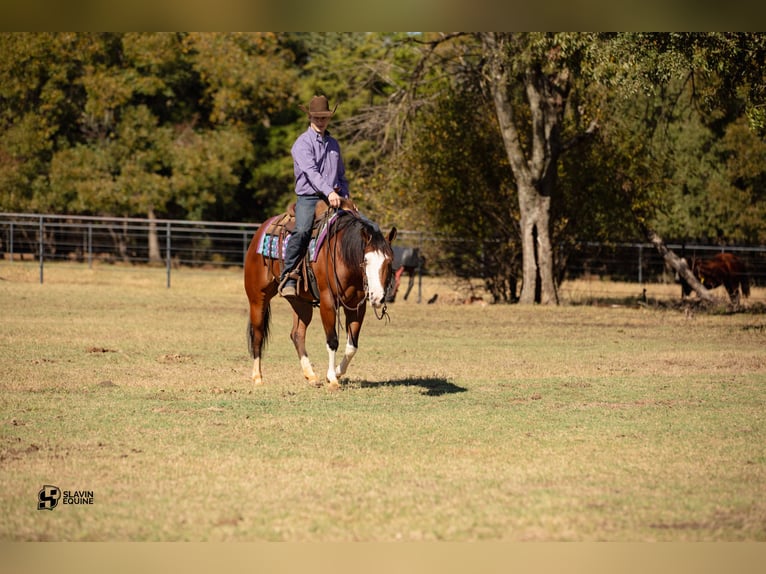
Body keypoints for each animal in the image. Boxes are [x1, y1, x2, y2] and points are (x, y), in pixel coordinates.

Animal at [244, 207, 402, 392]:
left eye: (389, 261)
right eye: (366, 259)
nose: (377, 297)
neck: (342, 254)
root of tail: (262, 229)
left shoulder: (356, 306)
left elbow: (352, 346)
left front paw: (337, 373)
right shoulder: (328, 301)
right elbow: (332, 341)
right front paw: (332, 379)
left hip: (300, 303)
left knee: (297, 334)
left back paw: (311, 376)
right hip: (257, 298)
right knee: (258, 334)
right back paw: (257, 377)